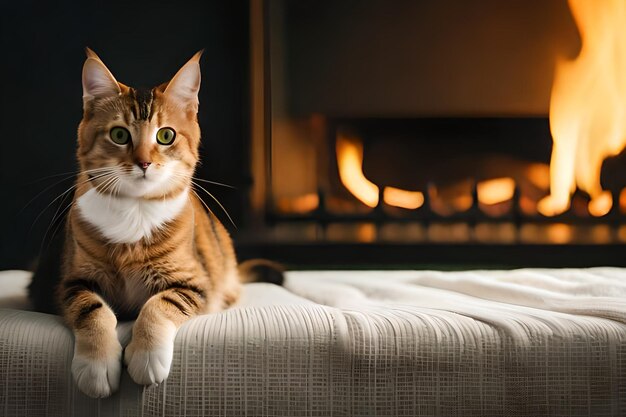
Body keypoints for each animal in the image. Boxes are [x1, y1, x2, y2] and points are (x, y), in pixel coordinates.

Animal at [28, 48, 280, 396]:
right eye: (119, 134)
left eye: (165, 135)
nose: (144, 162)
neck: (135, 210)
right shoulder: (70, 281)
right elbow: (92, 310)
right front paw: (96, 365)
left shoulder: (194, 282)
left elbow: (160, 304)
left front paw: (146, 357)